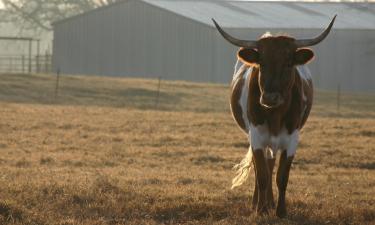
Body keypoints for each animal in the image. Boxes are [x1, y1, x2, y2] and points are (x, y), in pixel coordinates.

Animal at [213, 16, 336, 218]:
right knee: (262, 168)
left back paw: (270, 203)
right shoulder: (256, 136)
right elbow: (262, 175)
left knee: (271, 165)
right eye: (261, 63)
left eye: (288, 63)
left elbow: (282, 177)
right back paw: (259, 203)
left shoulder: (292, 139)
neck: (275, 115)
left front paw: (280, 211)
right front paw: (260, 210)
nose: (270, 97)